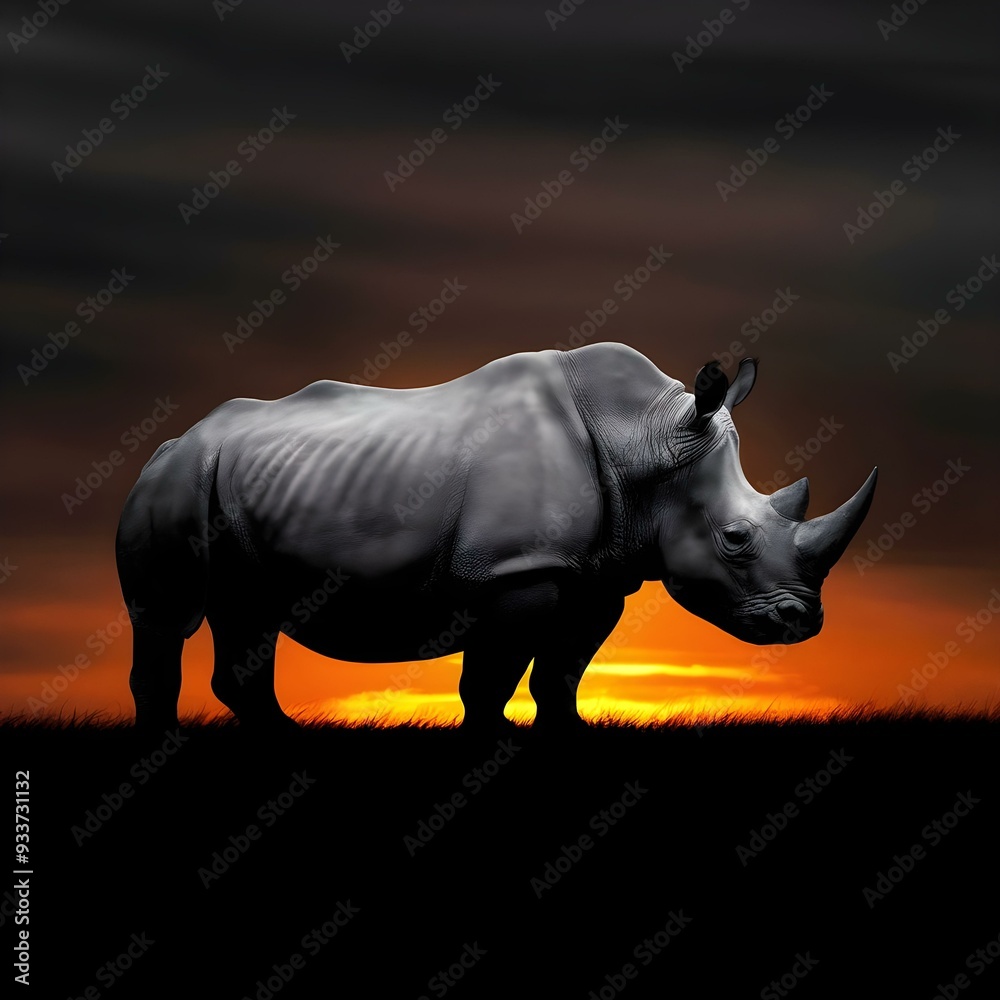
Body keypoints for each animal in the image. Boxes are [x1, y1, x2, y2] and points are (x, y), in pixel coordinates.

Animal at [116, 343, 876, 732]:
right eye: (735, 540)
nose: (802, 623)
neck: (647, 441)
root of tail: (173, 439)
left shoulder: (597, 572)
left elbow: (563, 667)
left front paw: (569, 736)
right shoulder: (514, 568)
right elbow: (492, 672)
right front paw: (492, 742)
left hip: (239, 482)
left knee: (250, 610)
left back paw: (283, 741)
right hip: (177, 479)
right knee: (170, 617)